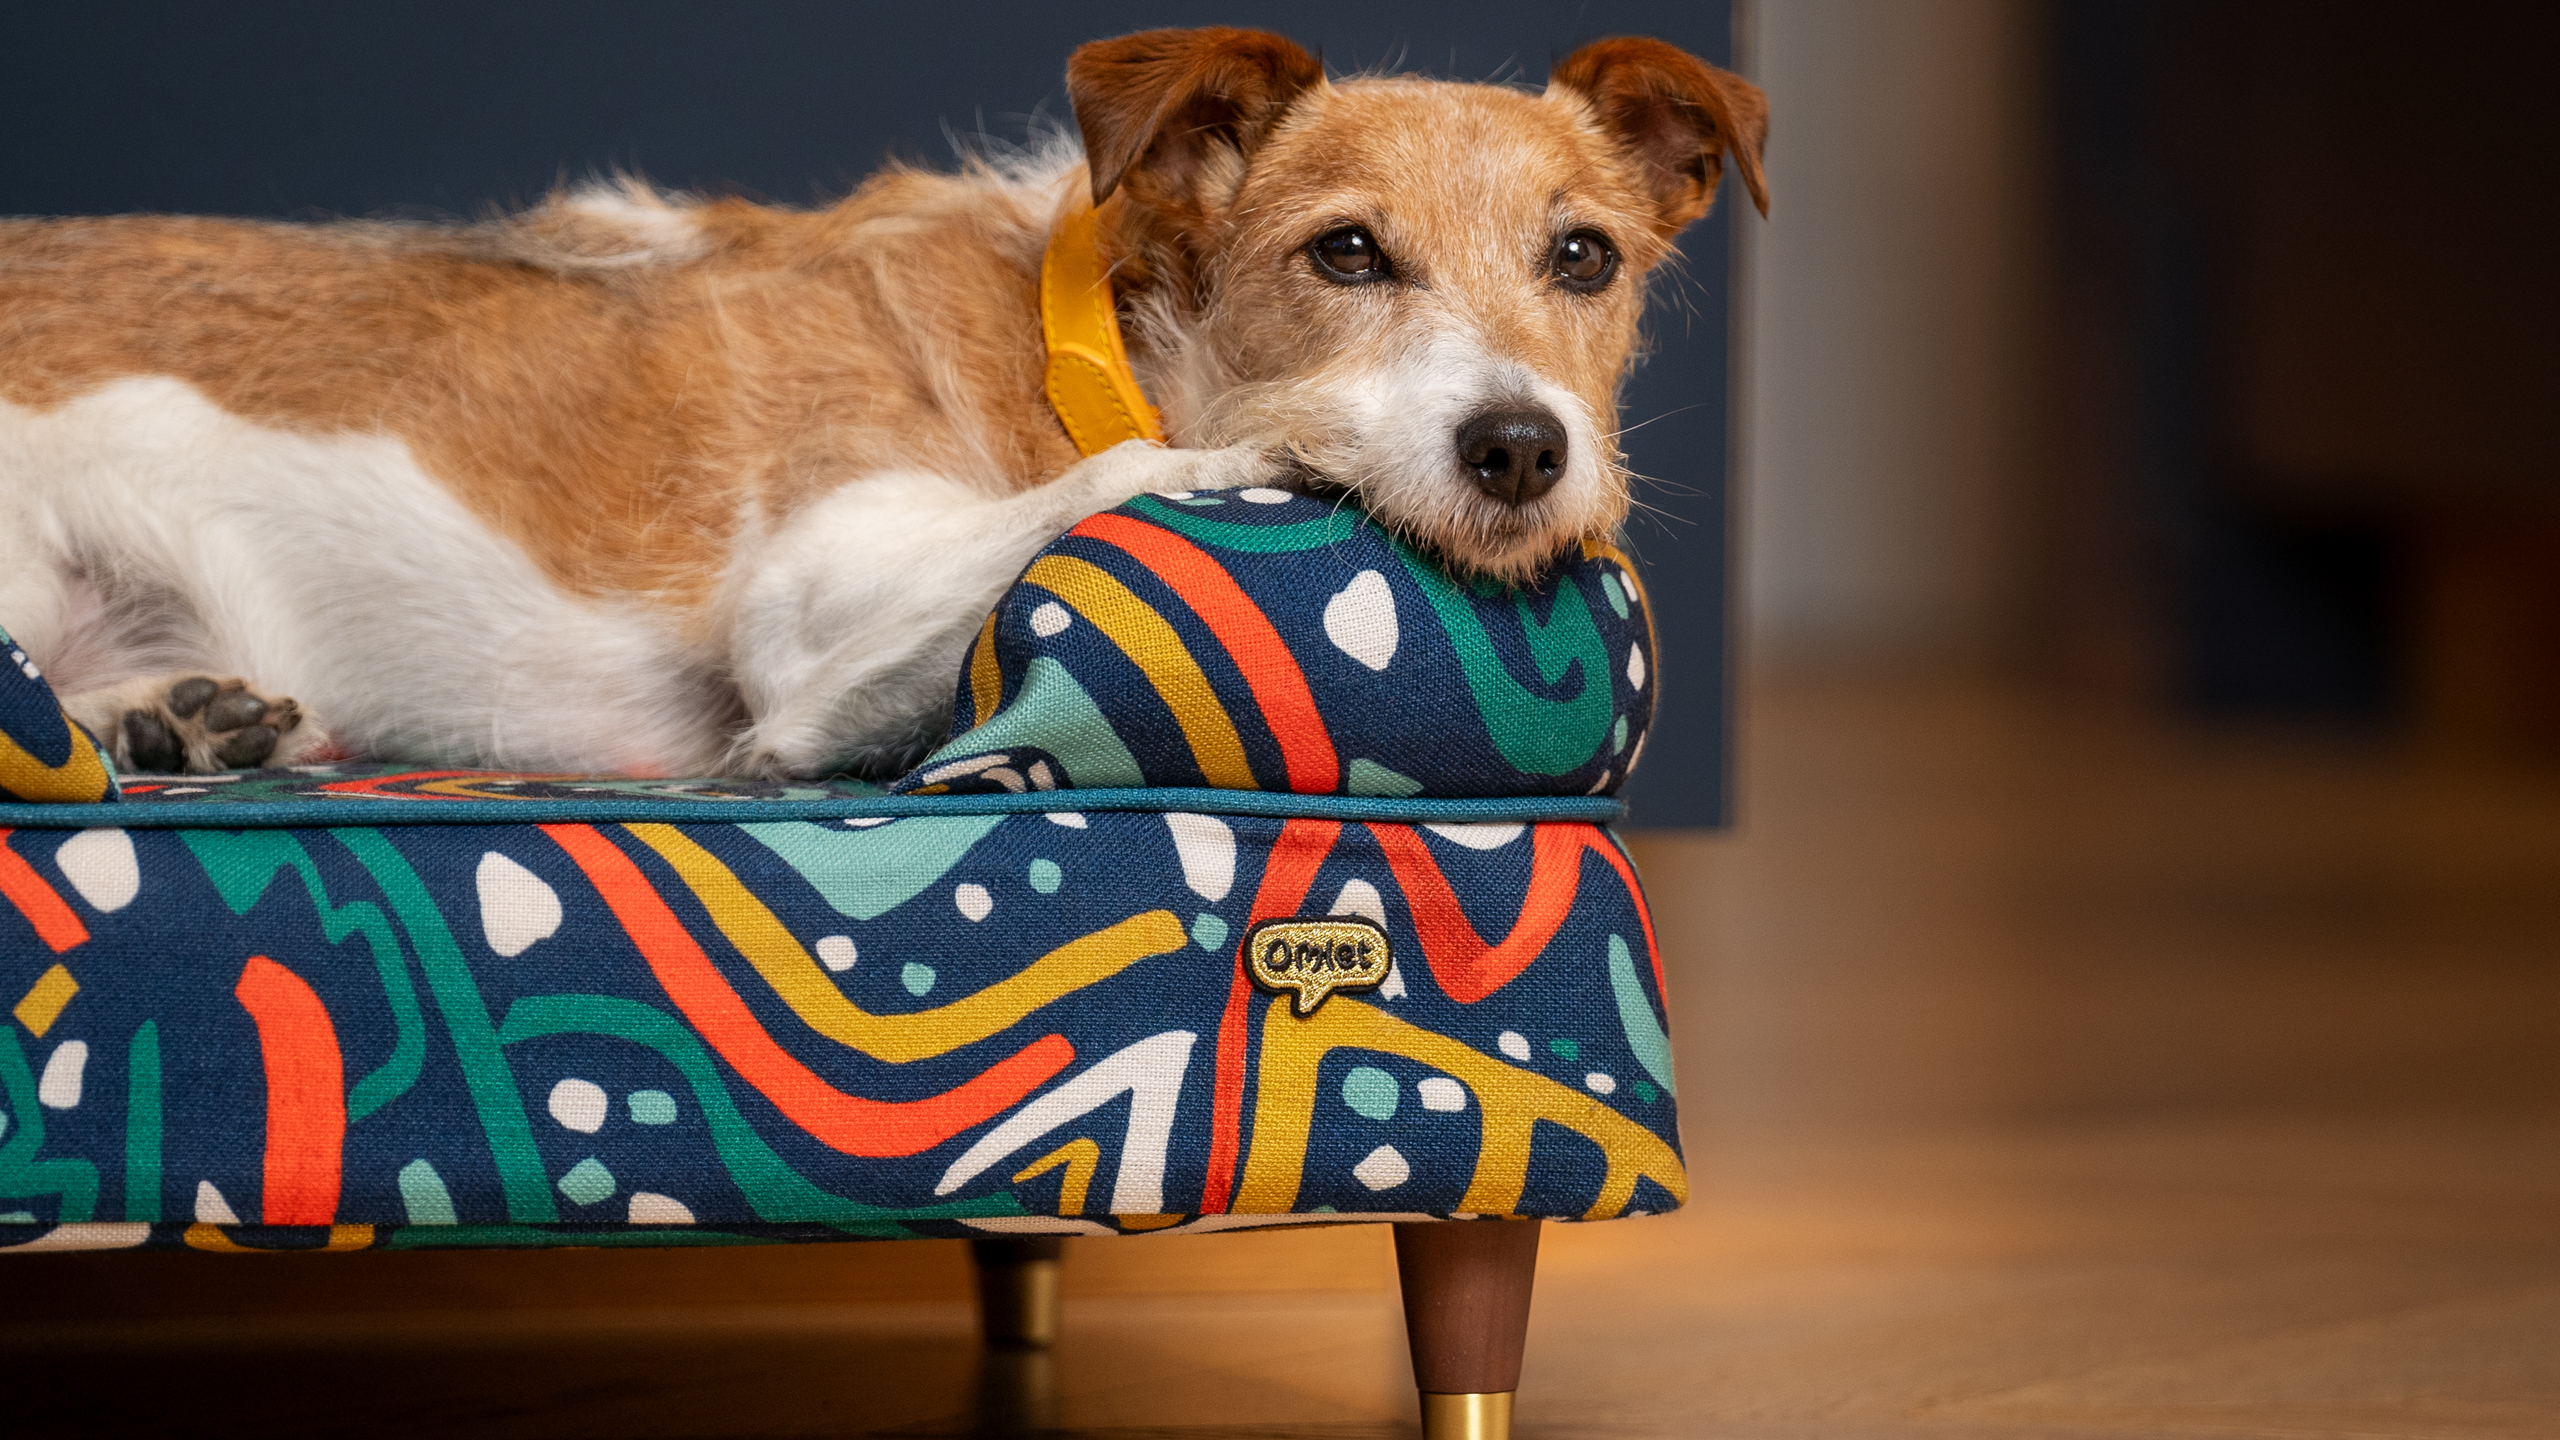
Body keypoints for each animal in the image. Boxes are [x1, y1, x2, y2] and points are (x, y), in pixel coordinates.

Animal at [0, 25, 1761, 773]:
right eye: (1345, 252)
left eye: (1586, 259)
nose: (1522, 448)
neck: (1098, 348)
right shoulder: (808, 614)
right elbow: (1120, 478)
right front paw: (1258, 450)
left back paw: (167, 718)